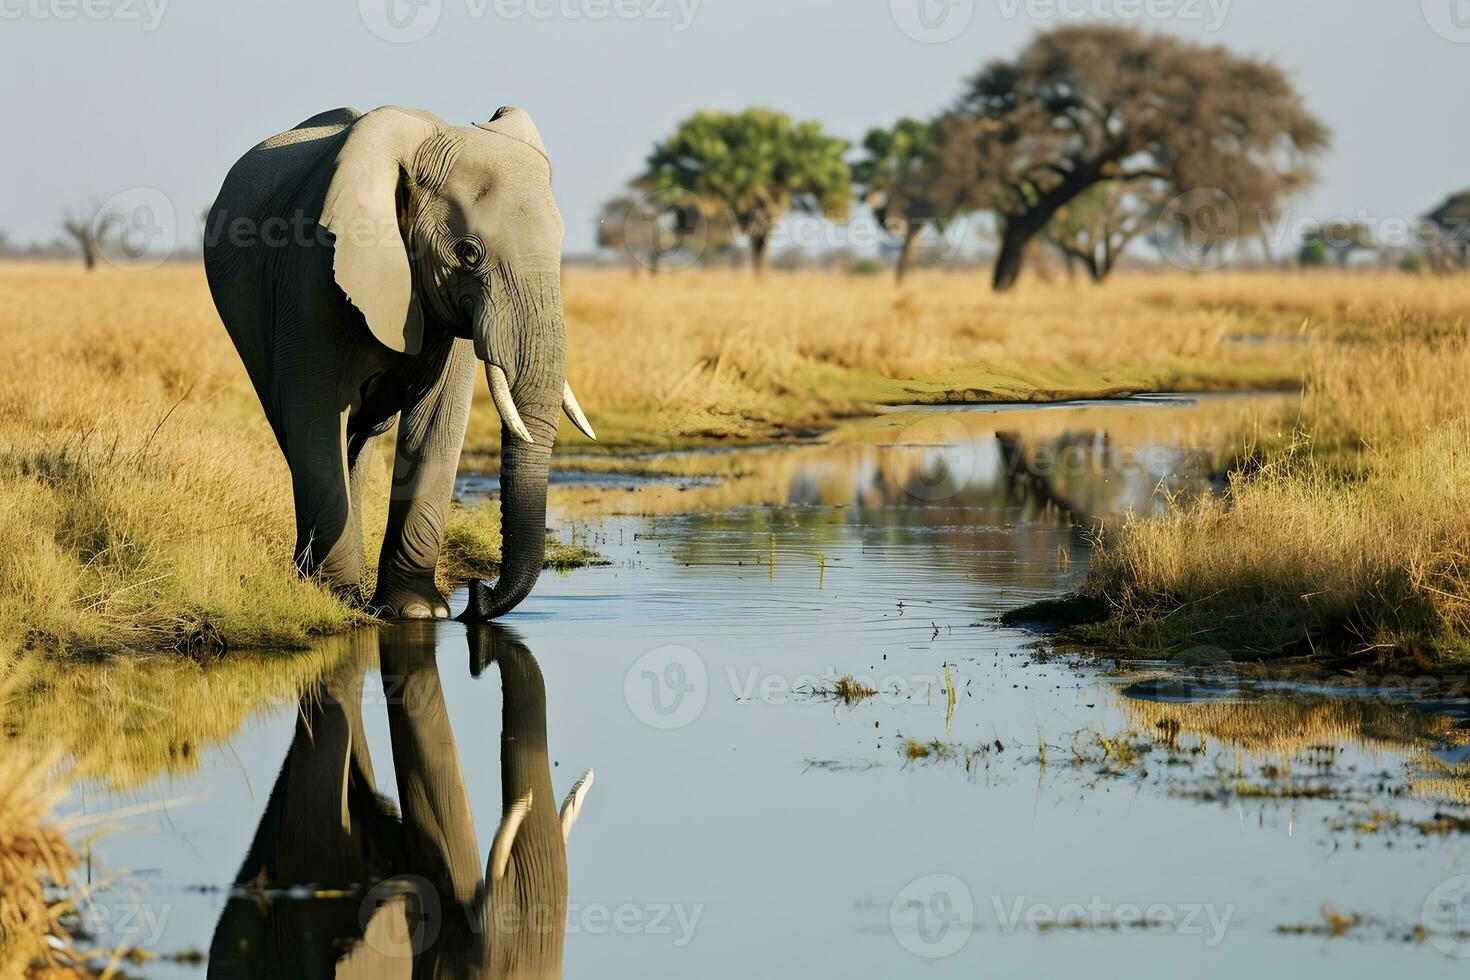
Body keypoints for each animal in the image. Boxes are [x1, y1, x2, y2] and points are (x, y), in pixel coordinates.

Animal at [204, 103, 593, 617]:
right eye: (469, 253)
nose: (477, 593)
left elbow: (435, 422)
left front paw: (418, 611)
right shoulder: (310, 275)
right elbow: (315, 416)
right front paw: (336, 597)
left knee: (359, 436)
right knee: (299, 428)